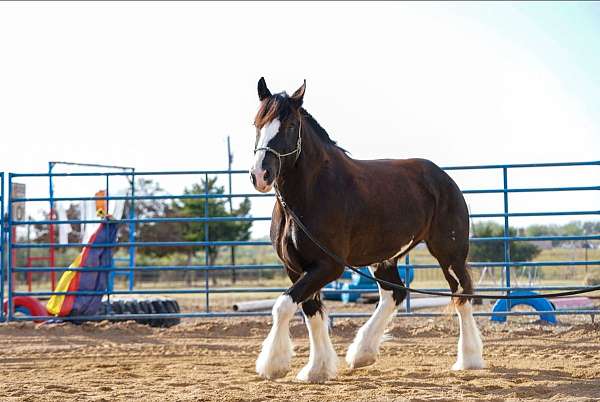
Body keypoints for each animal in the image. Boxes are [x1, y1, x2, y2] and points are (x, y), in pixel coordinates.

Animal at [250, 77, 488, 384]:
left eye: (290, 125)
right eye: (256, 123)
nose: (260, 175)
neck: (310, 194)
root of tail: (443, 177)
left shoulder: (329, 266)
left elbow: (283, 306)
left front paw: (273, 364)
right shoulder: (296, 267)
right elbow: (310, 312)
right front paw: (317, 369)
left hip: (450, 254)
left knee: (462, 294)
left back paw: (468, 359)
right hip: (384, 257)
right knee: (394, 294)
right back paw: (362, 353)